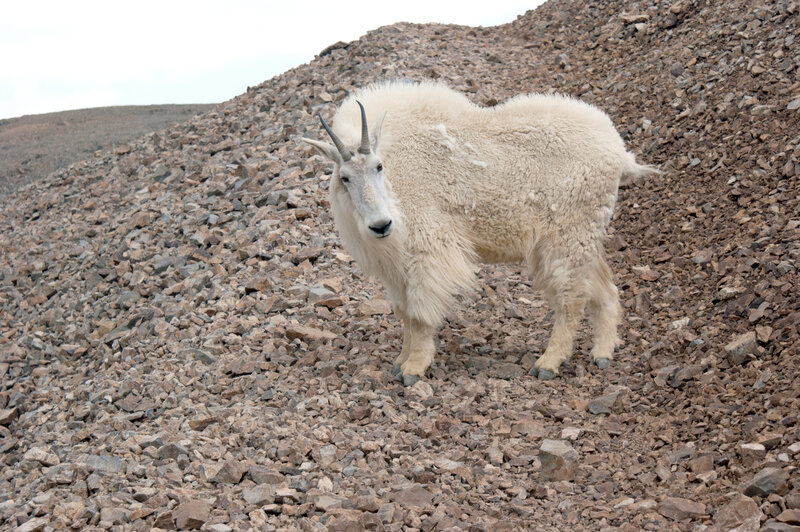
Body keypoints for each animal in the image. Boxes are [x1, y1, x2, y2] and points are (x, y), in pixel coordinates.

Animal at [300, 81, 656, 384]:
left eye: (378, 166)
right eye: (344, 177)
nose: (381, 225)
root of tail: (620, 153)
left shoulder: (428, 245)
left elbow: (419, 313)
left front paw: (414, 368)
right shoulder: (395, 264)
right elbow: (403, 312)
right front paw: (400, 360)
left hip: (568, 234)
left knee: (571, 298)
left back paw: (549, 362)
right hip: (582, 234)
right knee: (604, 288)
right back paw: (603, 352)